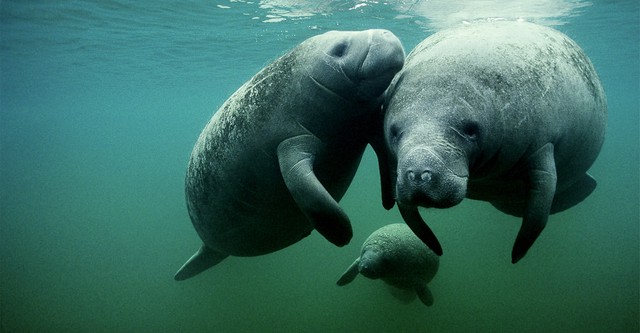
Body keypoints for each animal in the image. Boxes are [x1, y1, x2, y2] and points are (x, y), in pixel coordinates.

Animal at [175, 29, 404, 278]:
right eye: (340, 49)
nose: (386, 33)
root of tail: (209, 248)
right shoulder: (289, 143)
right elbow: (308, 192)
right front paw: (343, 233)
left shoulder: (369, 120)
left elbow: (384, 154)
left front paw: (389, 200)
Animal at [382, 22, 608, 264]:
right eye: (394, 133)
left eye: (471, 130)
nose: (417, 174)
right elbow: (410, 216)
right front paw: (435, 246)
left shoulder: (543, 145)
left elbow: (538, 213)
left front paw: (517, 254)